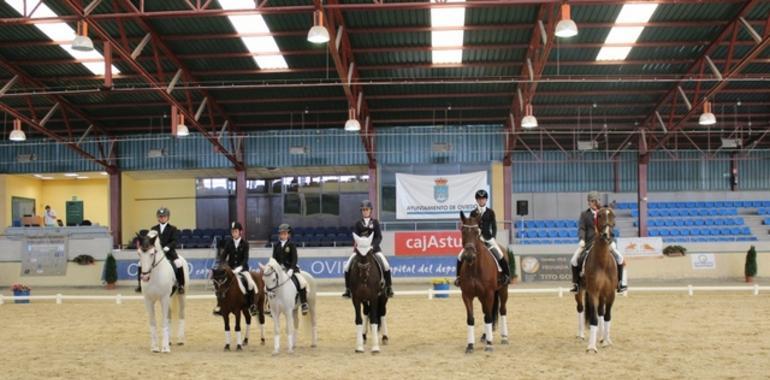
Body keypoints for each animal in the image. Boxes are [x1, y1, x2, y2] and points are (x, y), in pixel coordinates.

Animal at [456, 211, 510, 354]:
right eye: (463, 231)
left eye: (477, 232)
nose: (469, 256)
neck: (475, 267)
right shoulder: (467, 295)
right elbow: (471, 319)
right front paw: (470, 345)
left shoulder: (489, 293)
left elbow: (489, 317)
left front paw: (489, 345)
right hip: (481, 297)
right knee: (487, 311)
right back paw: (485, 336)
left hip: (503, 290)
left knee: (502, 310)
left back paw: (504, 337)